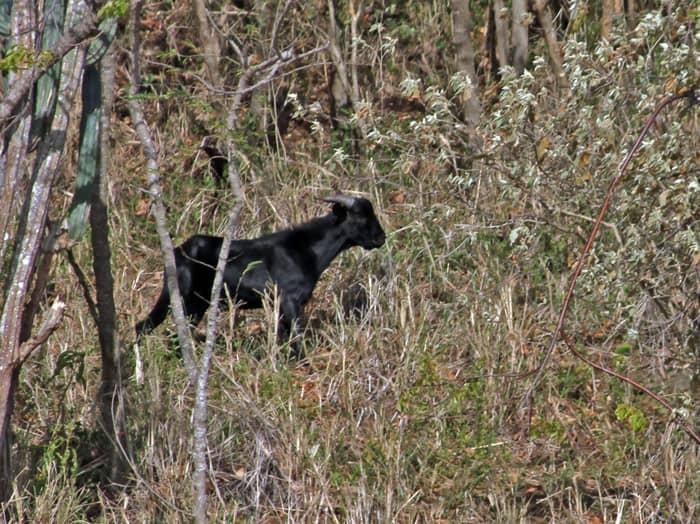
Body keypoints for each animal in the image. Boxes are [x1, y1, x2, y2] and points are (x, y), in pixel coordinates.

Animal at [134, 194, 386, 346]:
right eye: (360, 217)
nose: (380, 238)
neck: (305, 249)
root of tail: (177, 252)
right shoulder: (289, 301)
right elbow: (296, 338)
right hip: (181, 298)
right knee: (146, 328)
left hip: (196, 304)